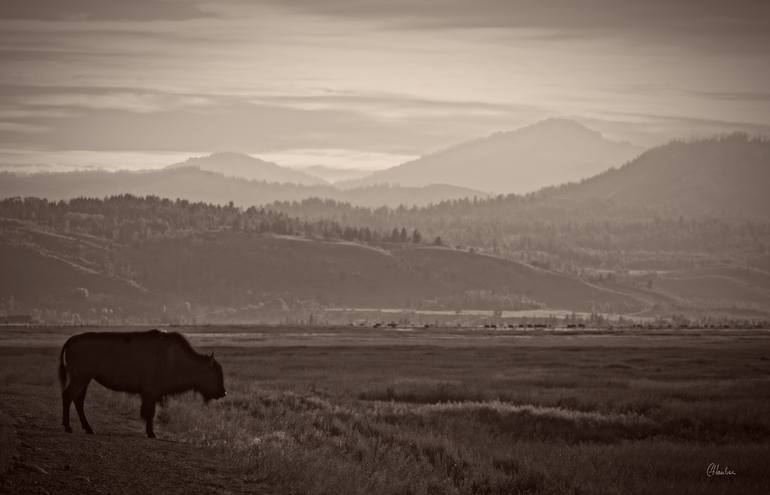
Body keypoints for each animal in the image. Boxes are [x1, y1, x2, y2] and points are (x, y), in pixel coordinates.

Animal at [57, 332, 225, 440]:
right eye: (215, 373)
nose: (223, 393)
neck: (174, 358)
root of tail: (71, 340)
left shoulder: (152, 395)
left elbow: (151, 412)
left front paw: (151, 432)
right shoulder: (150, 394)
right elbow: (149, 413)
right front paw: (152, 434)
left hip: (84, 380)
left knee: (77, 400)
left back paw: (88, 429)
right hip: (80, 378)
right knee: (68, 396)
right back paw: (68, 427)